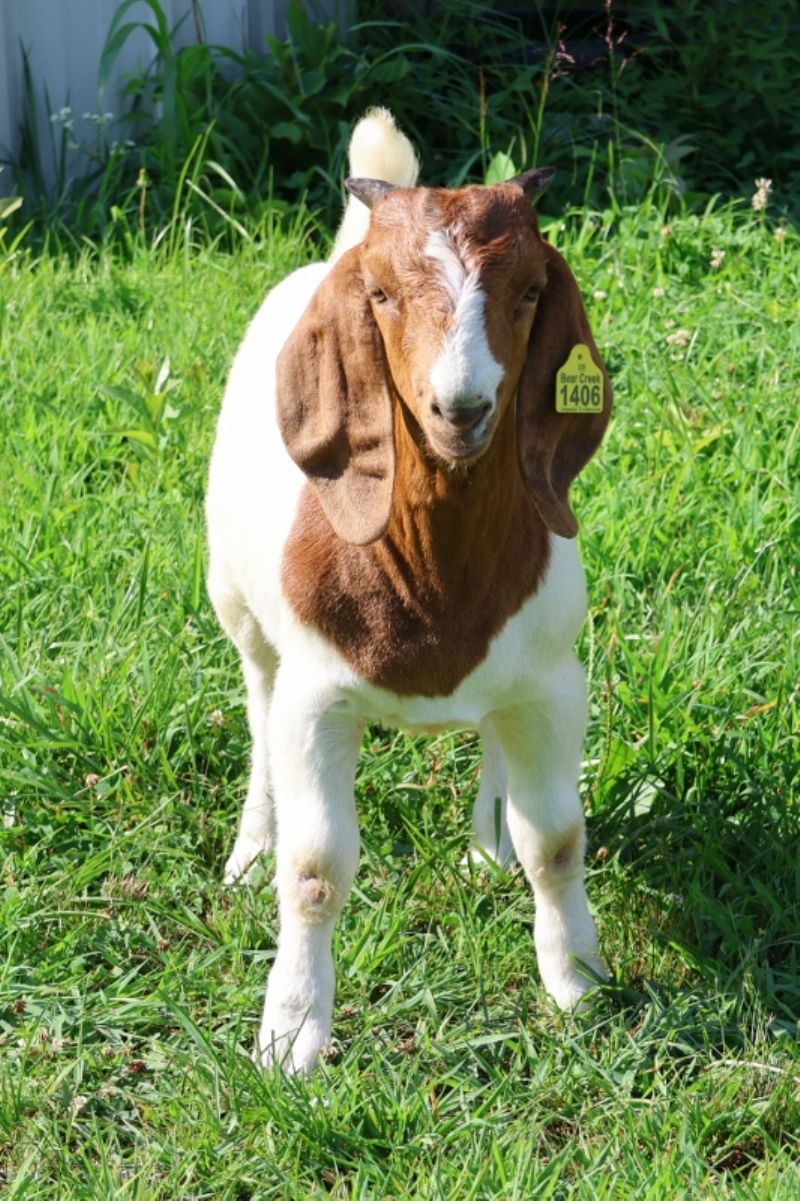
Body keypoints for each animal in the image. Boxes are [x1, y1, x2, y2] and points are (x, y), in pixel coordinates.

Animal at [206, 108, 612, 1073]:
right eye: (383, 296)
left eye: (529, 292)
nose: (459, 408)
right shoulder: (317, 697)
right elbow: (316, 871)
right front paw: (292, 1034)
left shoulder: (552, 683)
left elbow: (557, 840)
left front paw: (577, 982)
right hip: (238, 608)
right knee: (256, 705)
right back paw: (250, 849)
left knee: (496, 740)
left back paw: (489, 840)